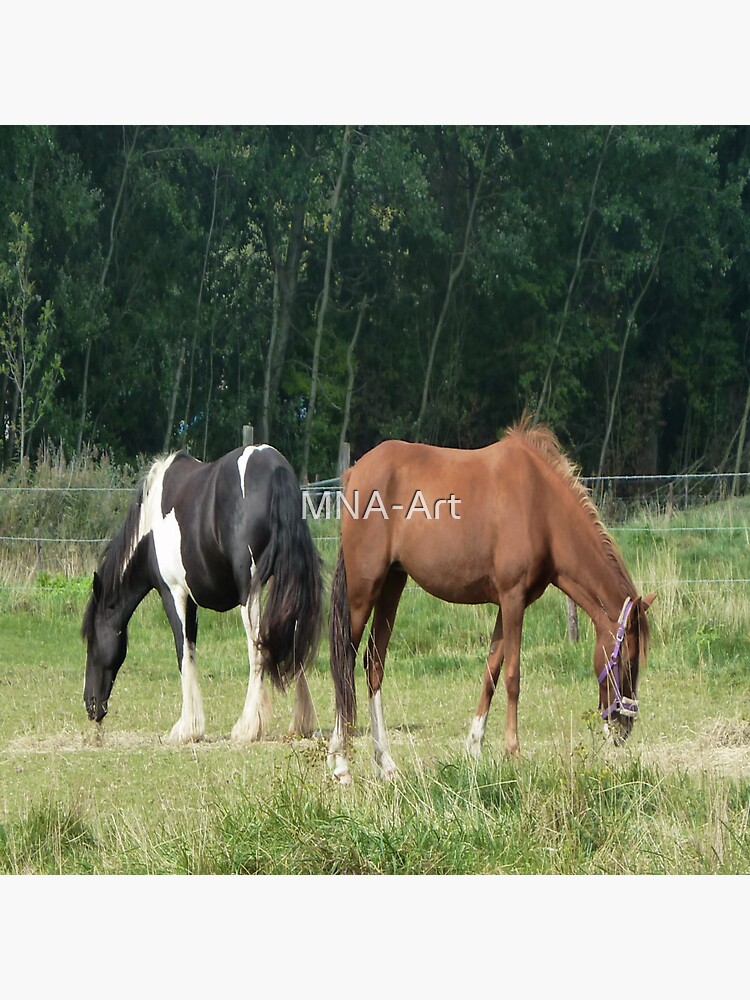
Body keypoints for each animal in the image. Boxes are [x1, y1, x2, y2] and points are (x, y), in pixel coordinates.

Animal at [82, 444, 323, 744]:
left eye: (91, 640)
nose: (90, 705)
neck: (151, 525)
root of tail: (275, 467)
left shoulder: (173, 594)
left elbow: (183, 652)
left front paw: (187, 728)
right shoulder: (192, 602)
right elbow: (192, 649)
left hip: (250, 594)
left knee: (256, 648)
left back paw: (247, 727)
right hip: (289, 583)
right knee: (293, 637)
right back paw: (301, 723)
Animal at [327, 418, 655, 783]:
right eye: (628, 660)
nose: (624, 726)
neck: (542, 509)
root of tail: (355, 472)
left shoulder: (506, 604)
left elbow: (491, 672)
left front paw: (473, 747)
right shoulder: (513, 599)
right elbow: (512, 676)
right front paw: (512, 751)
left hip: (392, 584)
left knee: (374, 664)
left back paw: (385, 763)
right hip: (363, 589)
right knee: (345, 661)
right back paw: (341, 764)